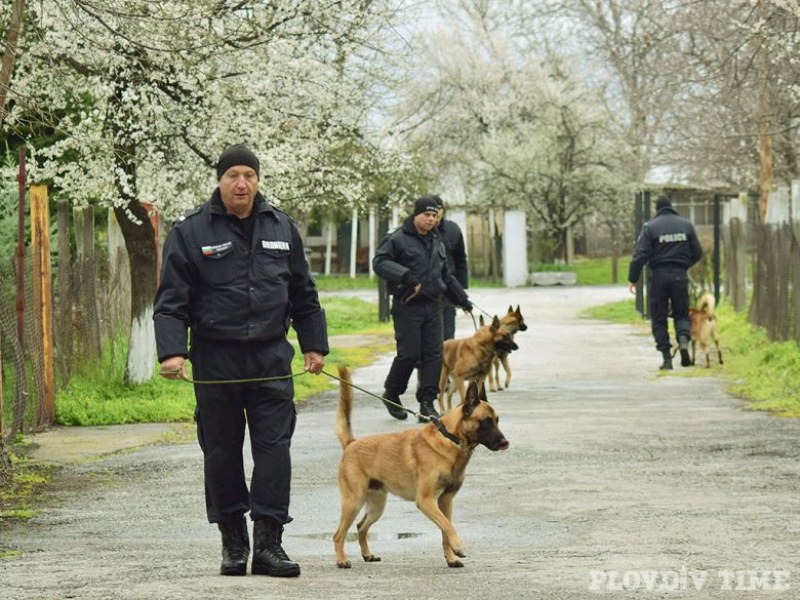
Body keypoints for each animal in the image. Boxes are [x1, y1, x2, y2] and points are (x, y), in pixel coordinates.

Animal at [332, 366, 510, 568]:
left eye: (497, 420)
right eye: (486, 421)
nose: (505, 442)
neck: (450, 438)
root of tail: (351, 443)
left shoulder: (445, 501)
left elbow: (445, 531)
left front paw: (451, 558)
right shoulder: (426, 501)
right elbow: (448, 526)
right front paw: (458, 547)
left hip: (376, 506)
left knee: (361, 526)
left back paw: (367, 555)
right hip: (353, 501)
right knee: (338, 535)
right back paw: (341, 560)